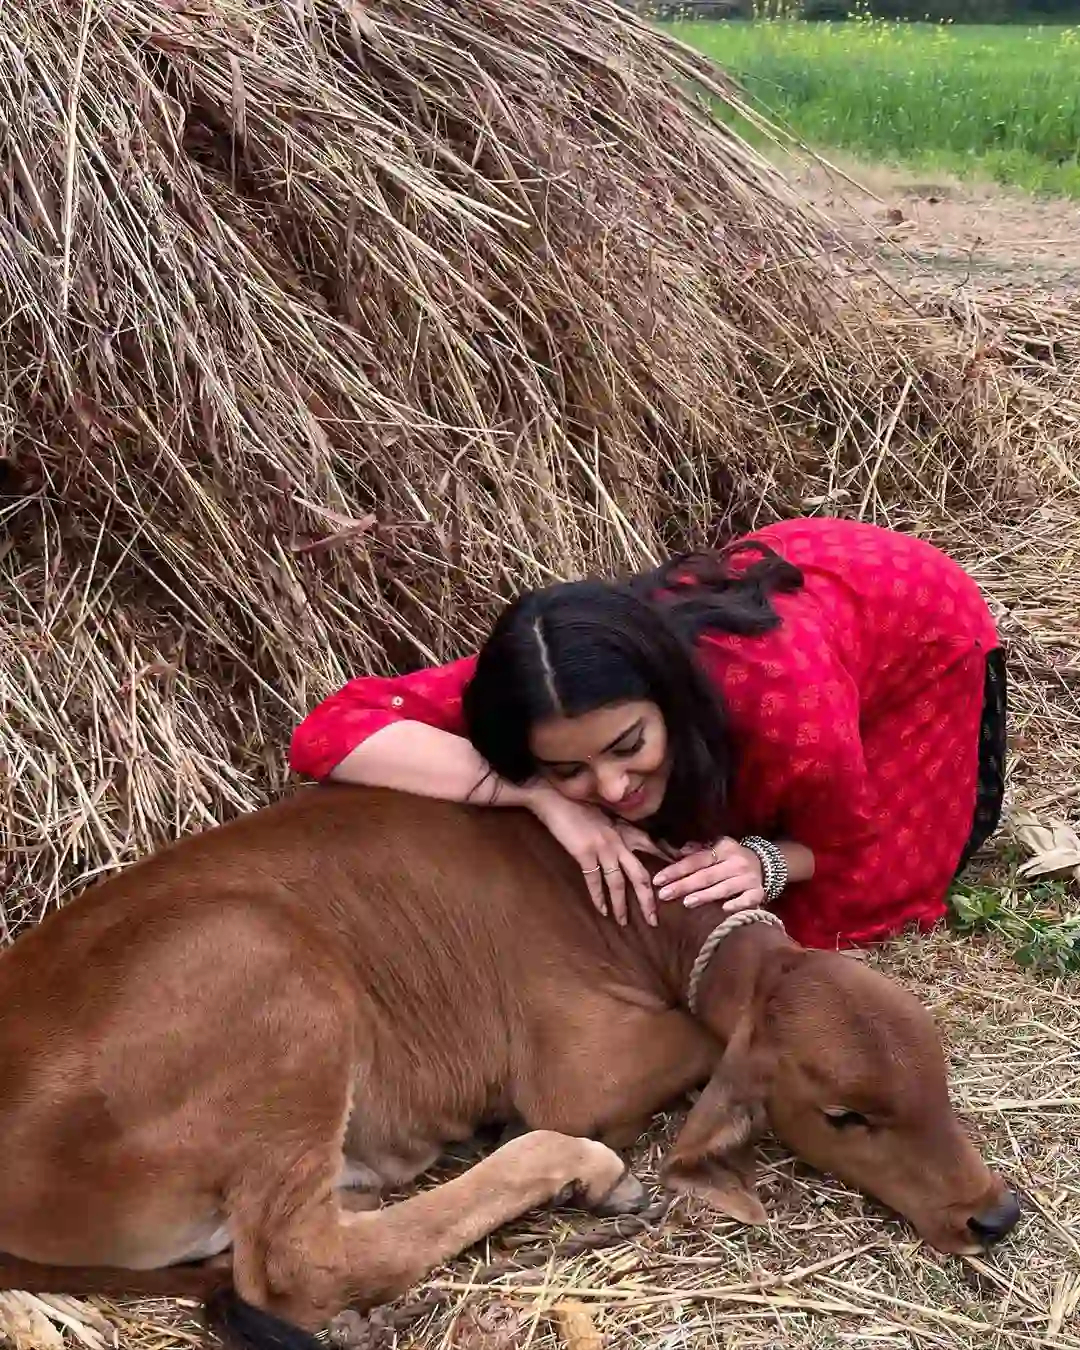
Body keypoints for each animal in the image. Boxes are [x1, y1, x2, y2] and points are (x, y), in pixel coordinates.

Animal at [0, 785, 1021, 1349]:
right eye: (846, 1116)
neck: (632, 915)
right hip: (268, 975)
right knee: (298, 1263)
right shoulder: (573, 1068)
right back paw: (583, 1172)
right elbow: (694, 1047)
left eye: (938, 1079)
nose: (994, 1213)